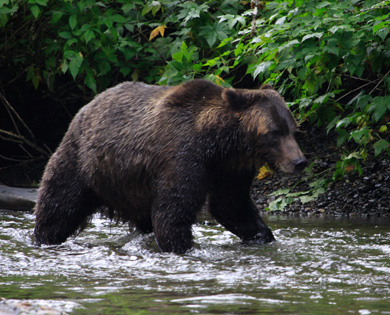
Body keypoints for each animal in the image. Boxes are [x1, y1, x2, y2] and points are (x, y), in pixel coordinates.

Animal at [33, 79, 306, 254]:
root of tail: (87, 106)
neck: (221, 143)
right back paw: (44, 237)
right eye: (274, 132)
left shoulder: (230, 169)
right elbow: (173, 211)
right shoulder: (183, 157)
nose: (299, 161)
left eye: (293, 130)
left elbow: (231, 205)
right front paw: (182, 247)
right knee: (59, 203)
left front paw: (262, 235)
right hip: (83, 160)